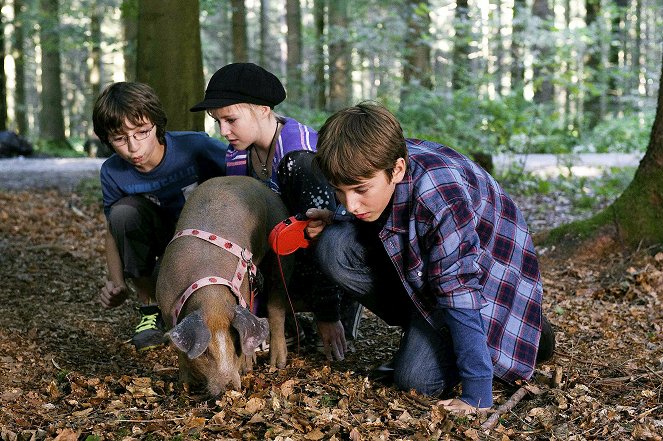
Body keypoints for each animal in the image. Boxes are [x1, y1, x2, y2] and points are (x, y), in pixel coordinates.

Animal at [157, 175, 292, 396]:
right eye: (205, 352)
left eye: (235, 342)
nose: (229, 386)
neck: (211, 294)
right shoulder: (168, 307)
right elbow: (179, 348)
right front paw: (185, 383)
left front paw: (246, 368)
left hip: (279, 250)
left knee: (276, 306)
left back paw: (277, 363)